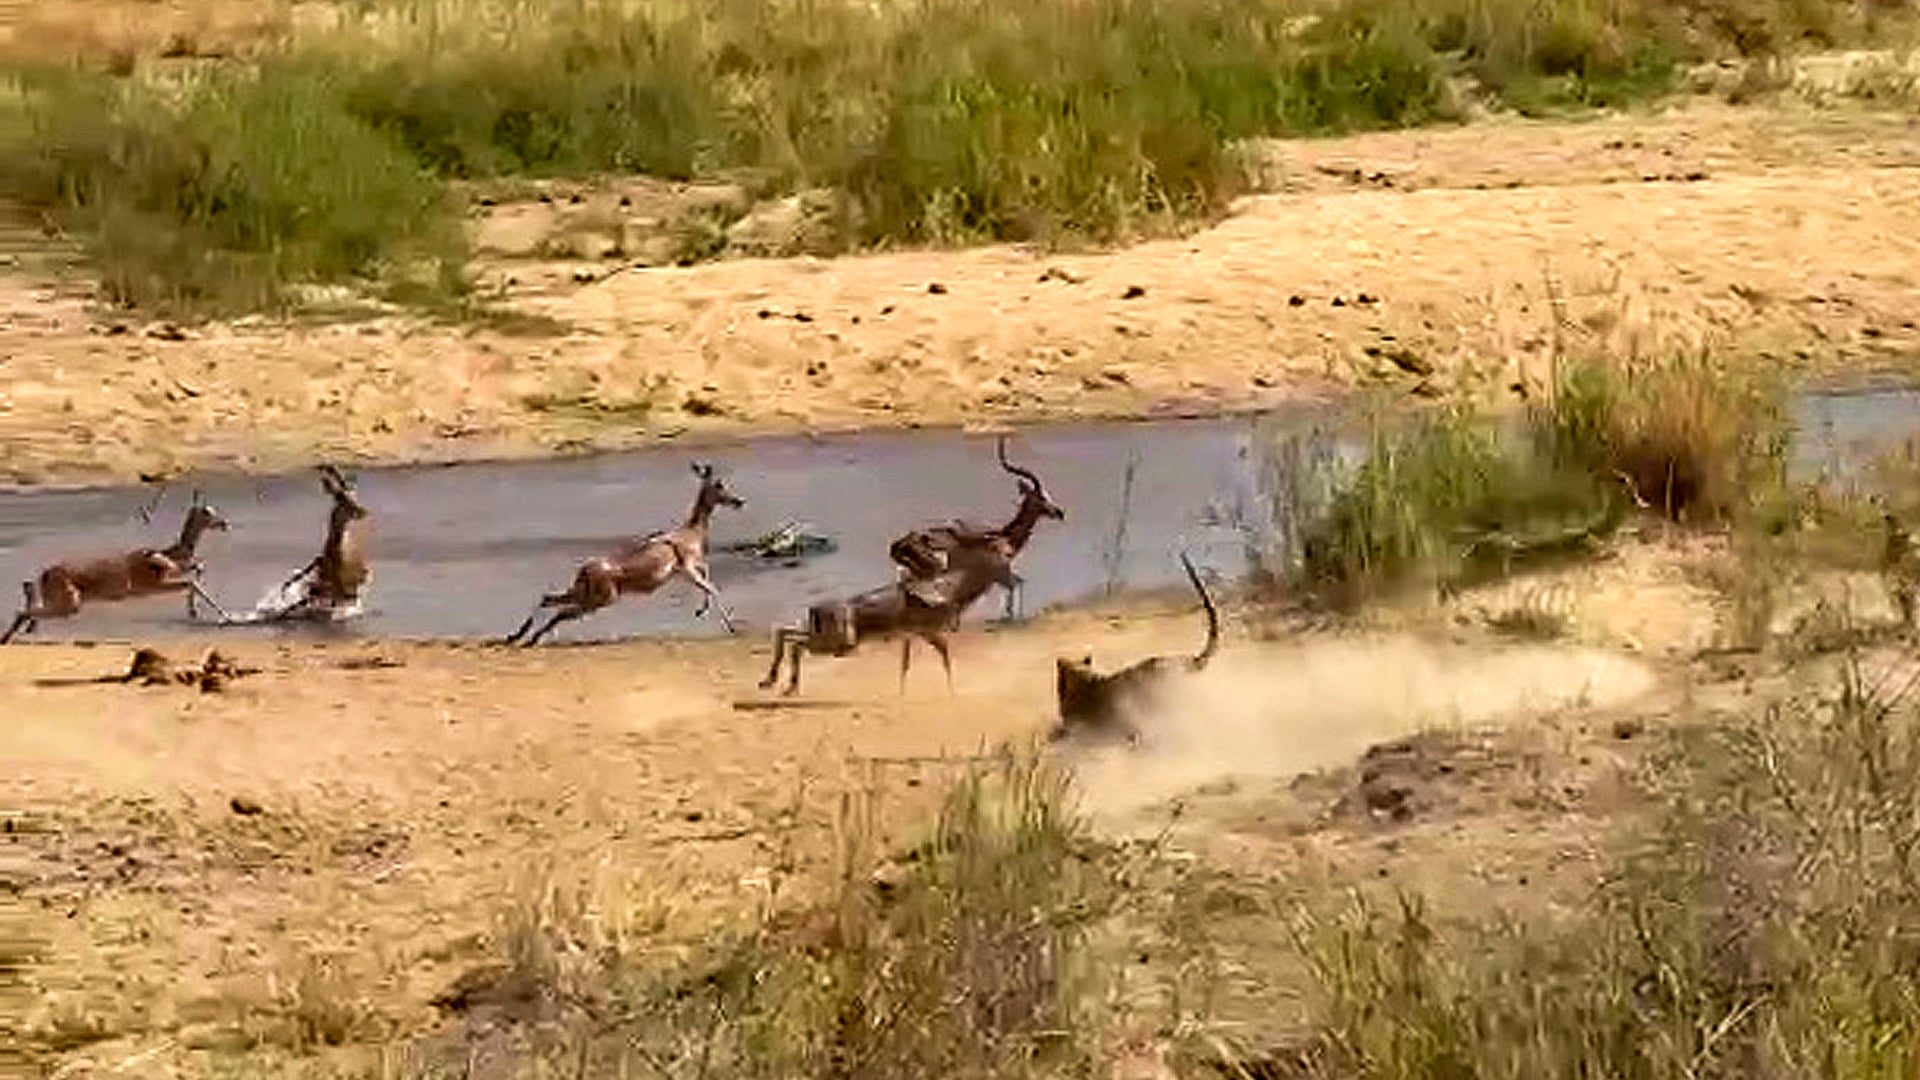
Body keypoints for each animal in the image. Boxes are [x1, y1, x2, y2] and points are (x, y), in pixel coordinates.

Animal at [1, 491, 234, 644]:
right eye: (206, 511)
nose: (224, 524)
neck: (167, 555)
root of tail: (46, 574)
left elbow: (196, 571)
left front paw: (196, 611)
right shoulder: (152, 586)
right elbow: (192, 582)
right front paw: (224, 617)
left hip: (60, 603)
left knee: (27, 604)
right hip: (70, 604)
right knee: (22, 611)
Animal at [504, 461, 745, 646]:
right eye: (719, 484)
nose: (739, 501)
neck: (691, 531)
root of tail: (585, 569)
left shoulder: (688, 570)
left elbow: (709, 580)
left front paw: (701, 612)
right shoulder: (686, 569)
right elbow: (712, 588)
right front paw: (732, 627)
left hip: (584, 594)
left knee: (548, 599)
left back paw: (518, 637)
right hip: (601, 599)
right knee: (561, 611)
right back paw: (529, 639)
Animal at [759, 533, 1018, 697]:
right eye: (1000, 553)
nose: (1013, 579)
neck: (951, 590)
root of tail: (814, 609)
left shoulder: (909, 636)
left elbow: (906, 664)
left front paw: (903, 693)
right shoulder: (929, 632)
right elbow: (944, 658)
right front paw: (951, 692)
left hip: (829, 640)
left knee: (785, 632)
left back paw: (773, 683)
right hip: (840, 644)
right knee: (795, 643)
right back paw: (782, 686)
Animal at [888, 435, 1064, 620]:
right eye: (1041, 496)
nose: (1059, 512)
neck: (1003, 538)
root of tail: (898, 544)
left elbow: (1017, 584)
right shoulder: (1000, 572)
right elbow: (1015, 585)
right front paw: (1011, 617)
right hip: (932, 573)